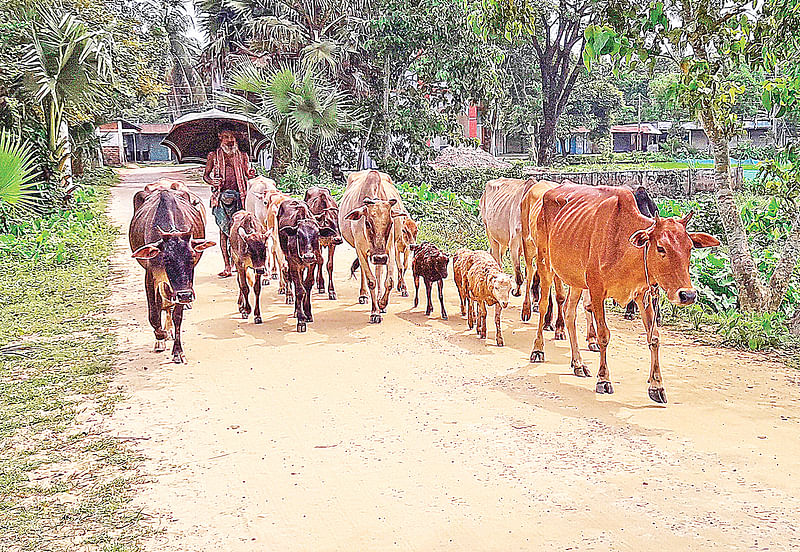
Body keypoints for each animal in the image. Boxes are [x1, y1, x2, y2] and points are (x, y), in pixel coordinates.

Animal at [130, 188, 216, 364]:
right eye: (166, 259)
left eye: (192, 256)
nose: (185, 296)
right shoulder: (150, 277)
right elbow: (154, 314)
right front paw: (160, 336)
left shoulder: (184, 286)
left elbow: (177, 316)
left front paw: (177, 351)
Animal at [278, 198, 334, 330]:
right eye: (298, 235)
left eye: (317, 234)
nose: (308, 256)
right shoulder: (293, 263)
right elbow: (299, 290)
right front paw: (301, 318)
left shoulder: (313, 262)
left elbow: (307, 285)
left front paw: (307, 313)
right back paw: (296, 310)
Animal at [340, 169, 410, 324]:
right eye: (367, 223)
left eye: (390, 223)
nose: (379, 257)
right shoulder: (360, 250)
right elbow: (370, 280)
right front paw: (375, 312)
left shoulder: (389, 250)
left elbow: (389, 280)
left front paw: (382, 304)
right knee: (365, 274)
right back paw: (364, 295)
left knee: (379, 272)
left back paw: (378, 297)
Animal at [532, 183, 720, 404]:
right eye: (660, 248)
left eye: (690, 248)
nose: (687, 295)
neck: (623, 244)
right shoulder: (596, 291)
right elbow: (603, 335)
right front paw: (603, 379)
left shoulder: (643, 294)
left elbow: (654, 337)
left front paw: (657, 385)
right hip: (545, 264)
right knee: (544, 306)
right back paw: (538, 349)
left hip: (576, 280)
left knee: (569, 314)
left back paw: (578, 363)